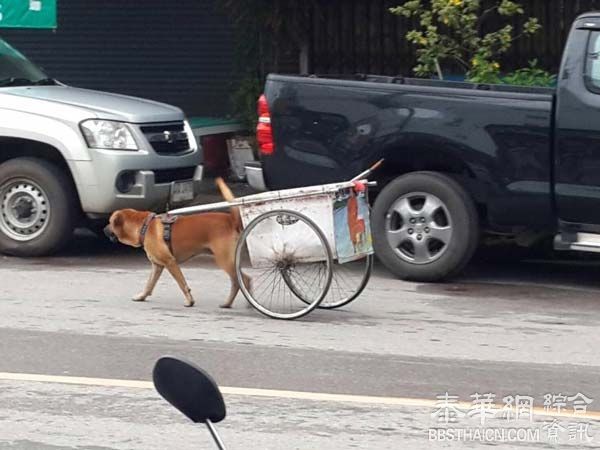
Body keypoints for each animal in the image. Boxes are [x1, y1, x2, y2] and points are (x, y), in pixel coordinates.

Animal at [104, 178, 250, 308]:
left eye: (110, 222)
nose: (103, 229)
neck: (144, 226)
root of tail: (231, 220)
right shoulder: (157, 266)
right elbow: (149, 284)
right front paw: (142, 296)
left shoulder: (170, 262)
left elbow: (182, 284)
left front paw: (189, 301)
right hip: (230, 261)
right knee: (241, 281)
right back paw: (235, 303)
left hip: (224, 260)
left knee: (242, 281)